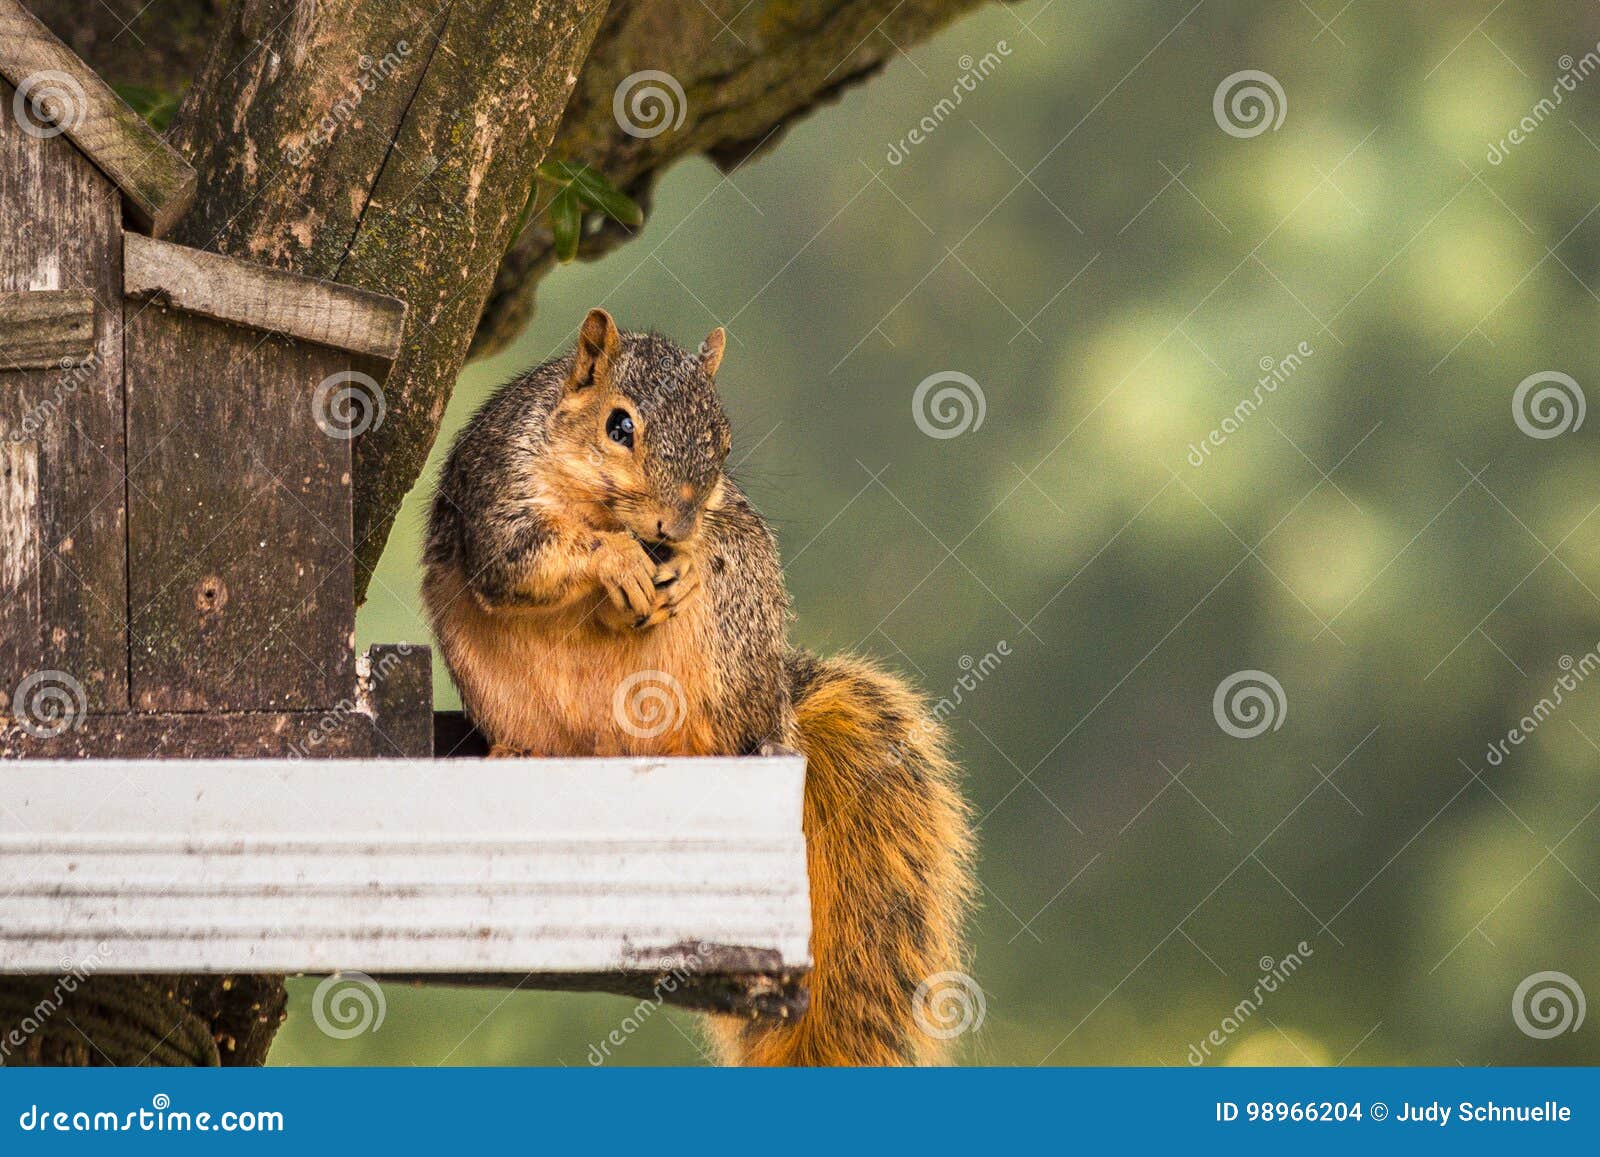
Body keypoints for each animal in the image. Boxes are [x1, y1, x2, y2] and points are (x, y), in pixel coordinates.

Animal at [422, 307, 976, 1065]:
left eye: (725, 438)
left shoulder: (726, 516)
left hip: (733, 662)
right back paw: (519, 754)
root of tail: (781, 714)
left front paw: (684, 557)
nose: (676, 524)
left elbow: (729, 530)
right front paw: (617, 560)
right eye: (619, 426)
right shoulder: (498, 492)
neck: (601, 505)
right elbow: (519, 560)